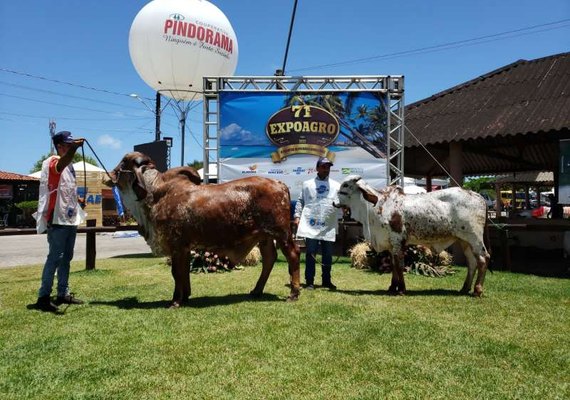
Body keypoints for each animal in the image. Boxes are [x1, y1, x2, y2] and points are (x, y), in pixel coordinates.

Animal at [107, 152, 302, 308]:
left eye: (124, 162)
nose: (110, 175)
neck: (154, 195)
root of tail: (279, 183)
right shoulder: (184, 248)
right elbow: (183, 272)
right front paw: (185, 297)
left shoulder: (176, 245)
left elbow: (176, 273)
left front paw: (175, 301)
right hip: (265, 236)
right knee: (269, 259)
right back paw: (256, 290)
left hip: (282, 233)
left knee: (293, 255)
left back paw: (293, 293)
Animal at [332, 176, 488, 296]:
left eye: (346, 184)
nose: (334, 202)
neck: (373, 208)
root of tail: (478, 196)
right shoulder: (391, 243)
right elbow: (393, 264)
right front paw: (392, 287)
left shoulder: (398, 239)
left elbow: (399, 265)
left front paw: (401, 289)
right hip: (464, 240)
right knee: (472, 262)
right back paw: (464, 289)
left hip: (475, 238)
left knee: (482, 259)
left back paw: (477, 290)